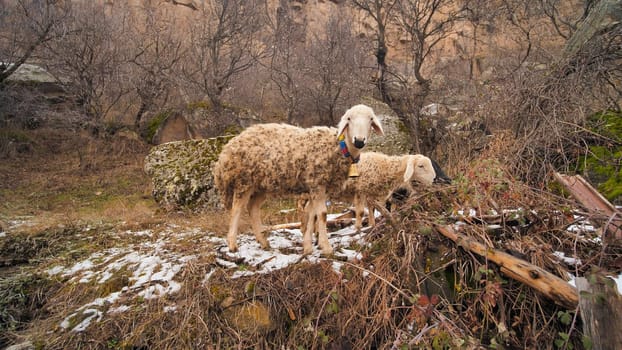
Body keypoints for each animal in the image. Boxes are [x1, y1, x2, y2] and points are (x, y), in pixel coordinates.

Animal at [213, 104, 386, 254]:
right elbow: (322, 214)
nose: (359, 141)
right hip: (244, 181)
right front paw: (326, 247)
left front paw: (309, 247)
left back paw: (263, 242)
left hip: (261, 185)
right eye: (349, 119)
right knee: (237, 209)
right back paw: (232, 244)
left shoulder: (318, 188)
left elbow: (312, 214)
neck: (338, 147)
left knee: (253, 208)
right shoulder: (317, 183)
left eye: (371, 119)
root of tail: (228, 148)